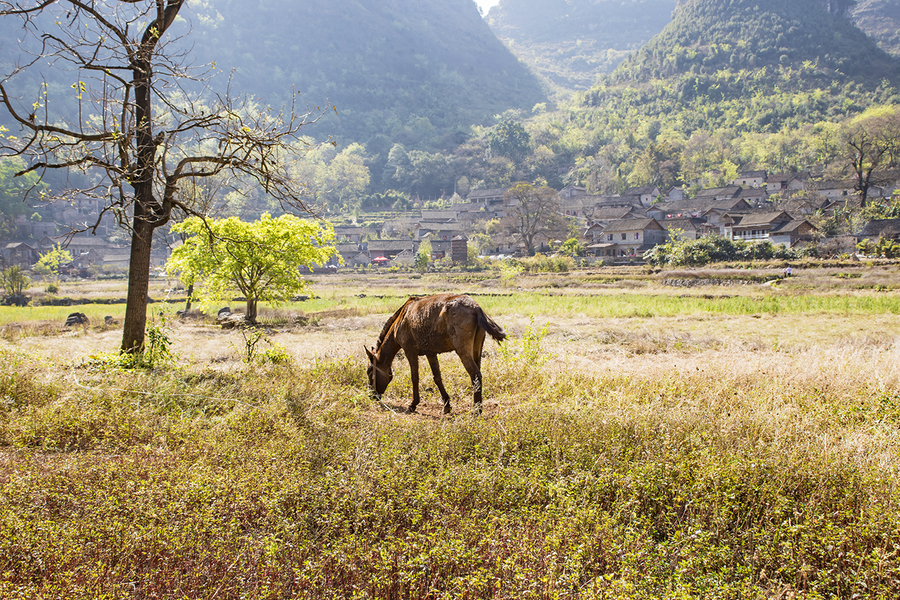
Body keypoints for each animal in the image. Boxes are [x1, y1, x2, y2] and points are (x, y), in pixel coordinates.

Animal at [366, 292, 506, 414]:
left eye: (369, 372)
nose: (372, 395)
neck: (401, 319)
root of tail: (476, 308)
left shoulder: (410, 351)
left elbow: (414, 377)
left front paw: (413, 404)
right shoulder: (430, 353)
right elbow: (437, 377)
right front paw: (446, 405)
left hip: (463, 351)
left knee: (475, 374)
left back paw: (476, 410)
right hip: (476, 349)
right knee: (478, 375)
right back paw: (478, 406)